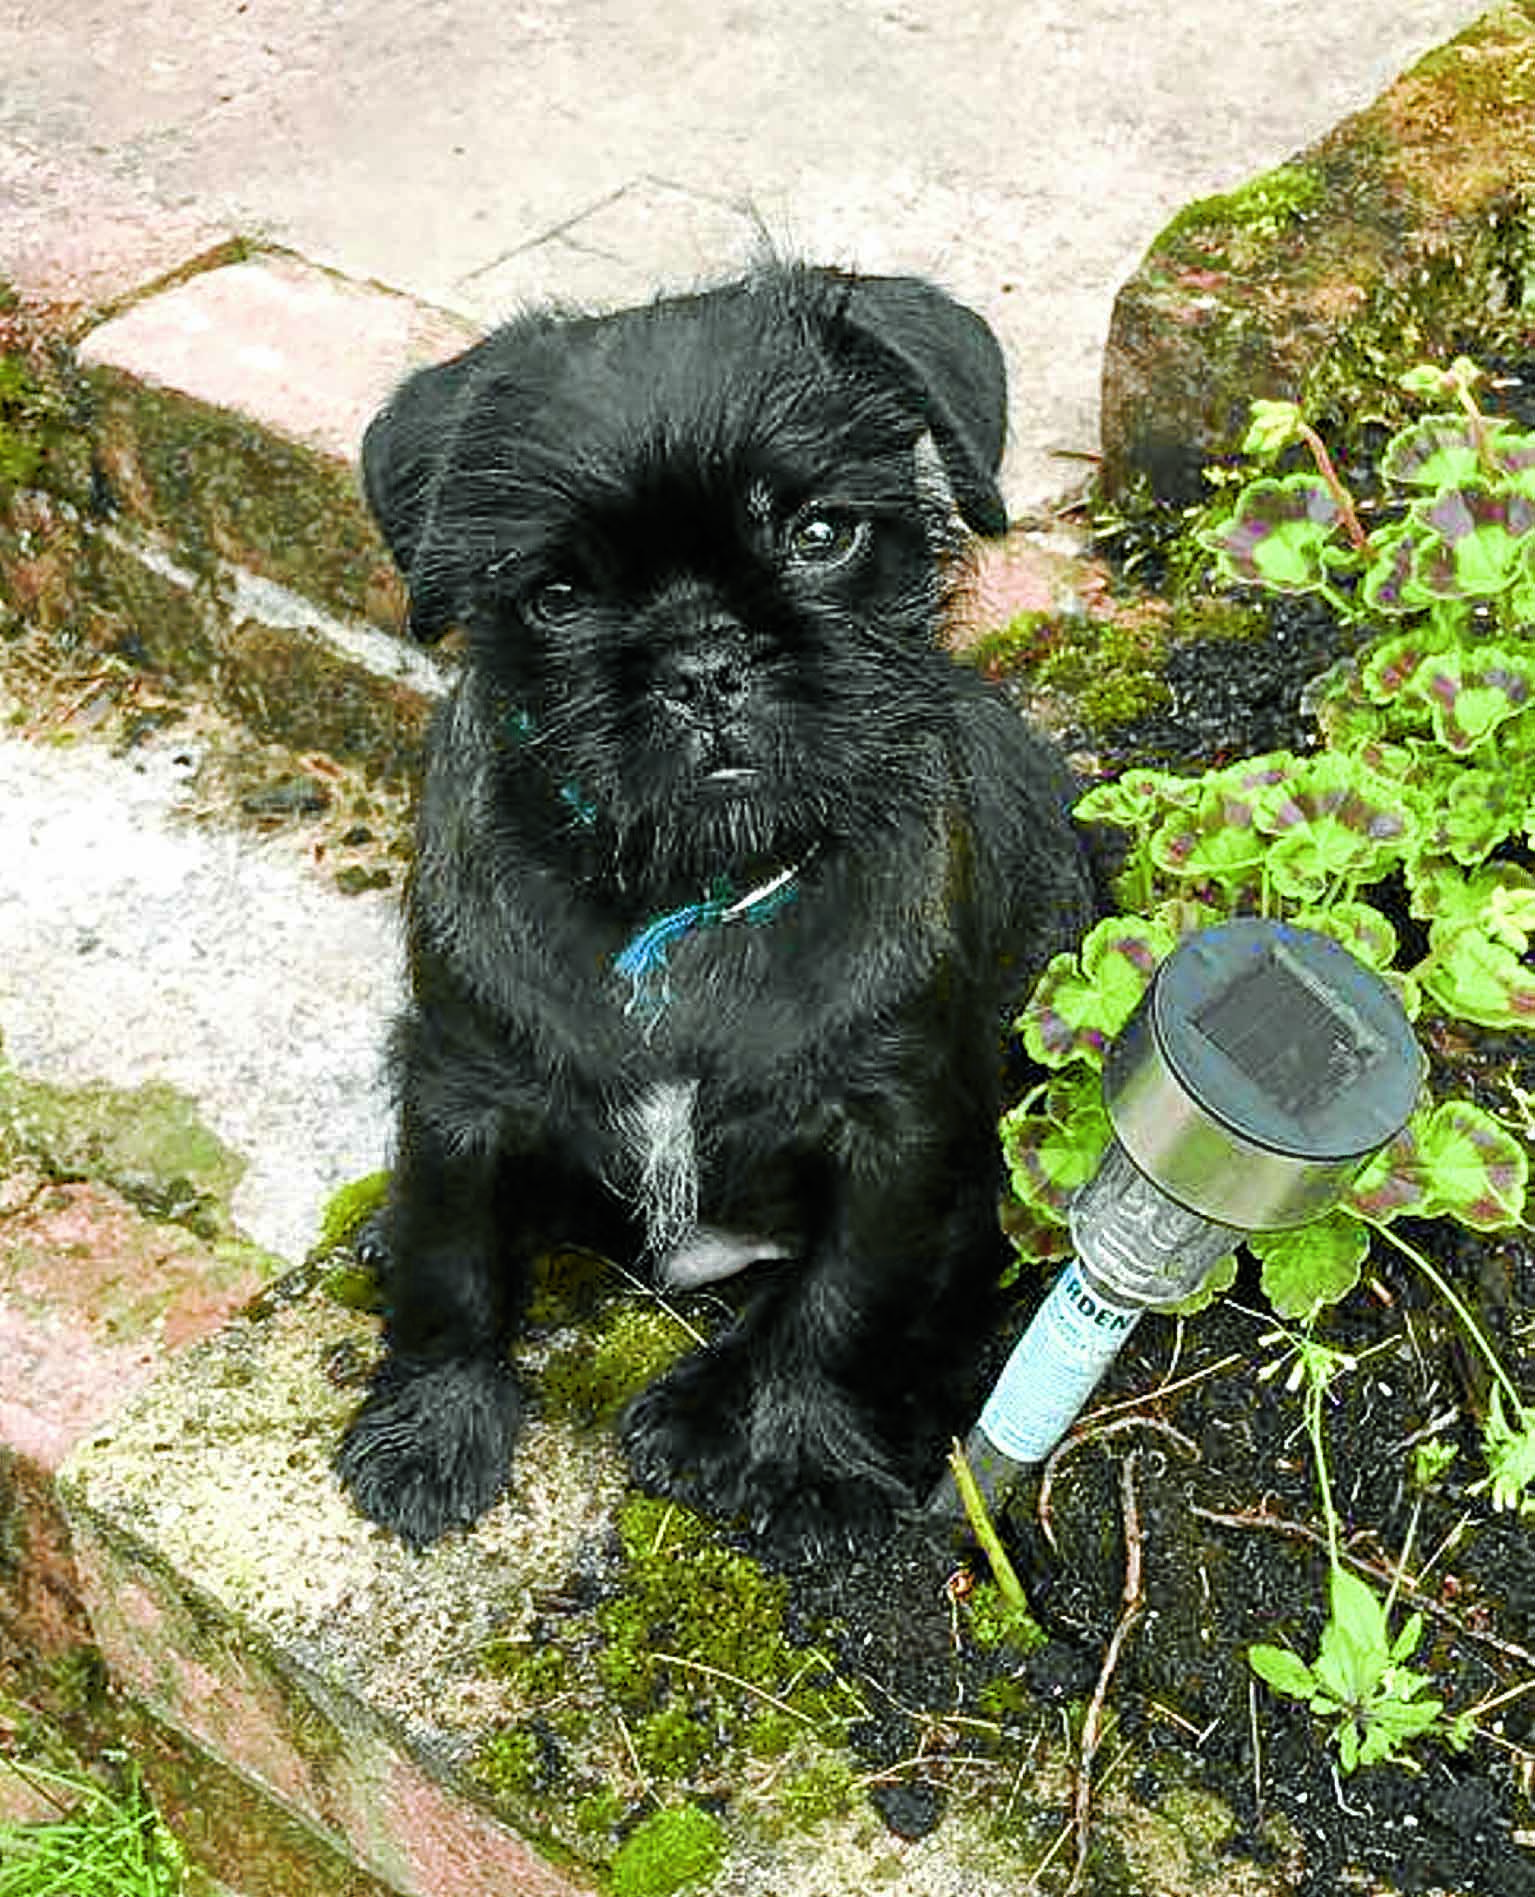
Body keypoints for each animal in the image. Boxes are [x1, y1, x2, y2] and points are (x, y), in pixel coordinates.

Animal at [337, 263, 1100, 1555]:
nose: (701, 662)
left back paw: (705, 1410)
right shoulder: (457, 1089)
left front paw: (803, 1454)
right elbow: (452, 1262)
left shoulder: (894, 1135)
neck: (686, 894)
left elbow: (844, 1302)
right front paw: (430, 1426)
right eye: (555, 596)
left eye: (818, 533)